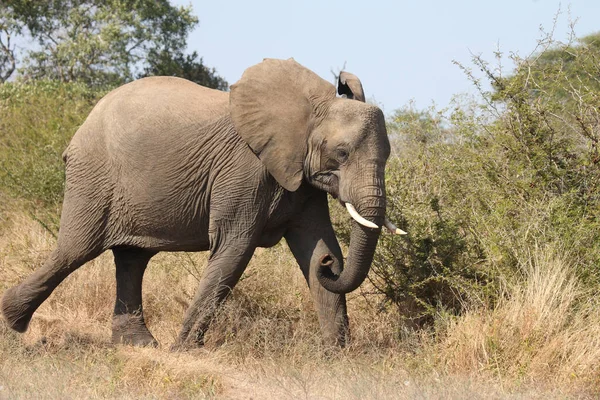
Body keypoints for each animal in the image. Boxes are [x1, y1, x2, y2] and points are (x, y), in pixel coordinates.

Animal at [1, 57, 404, 348]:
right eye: (342, 153)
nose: (329, 268)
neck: (312, 107)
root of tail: (83, 125)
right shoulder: (245, 170)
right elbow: (234, 247)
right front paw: (183, 350)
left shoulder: (301, 179)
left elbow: (315, 241)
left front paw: (337, 354)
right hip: (94, 176)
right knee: (75, 250)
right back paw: (11, 324)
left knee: (132, 258)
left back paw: (138, 346)